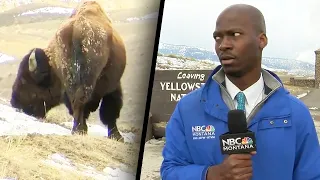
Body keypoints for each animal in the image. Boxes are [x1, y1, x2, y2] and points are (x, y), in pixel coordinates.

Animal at [9, 0, 126, 141]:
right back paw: (80, 130)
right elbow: (110, 112)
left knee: (77, 101)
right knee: (81, 101)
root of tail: (77, 29)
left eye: (24, 80)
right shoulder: (114, 86)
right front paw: (117, 137)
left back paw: (78, 129)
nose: (14, 102)